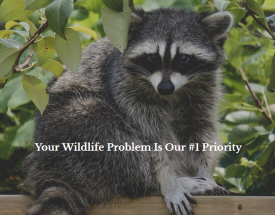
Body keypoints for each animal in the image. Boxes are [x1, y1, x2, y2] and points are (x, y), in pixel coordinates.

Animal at [24, 2, 234, 215]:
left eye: (183, 58)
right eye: (152, 58)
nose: (165, 88)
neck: (171, 93)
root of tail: (44, 167)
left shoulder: (205, 88)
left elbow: (200, 129)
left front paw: (206, 171)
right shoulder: (124, 87)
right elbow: (150, 141)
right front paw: (167, 180)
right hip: (65, 129)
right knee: (107, 132)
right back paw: (160, 183)